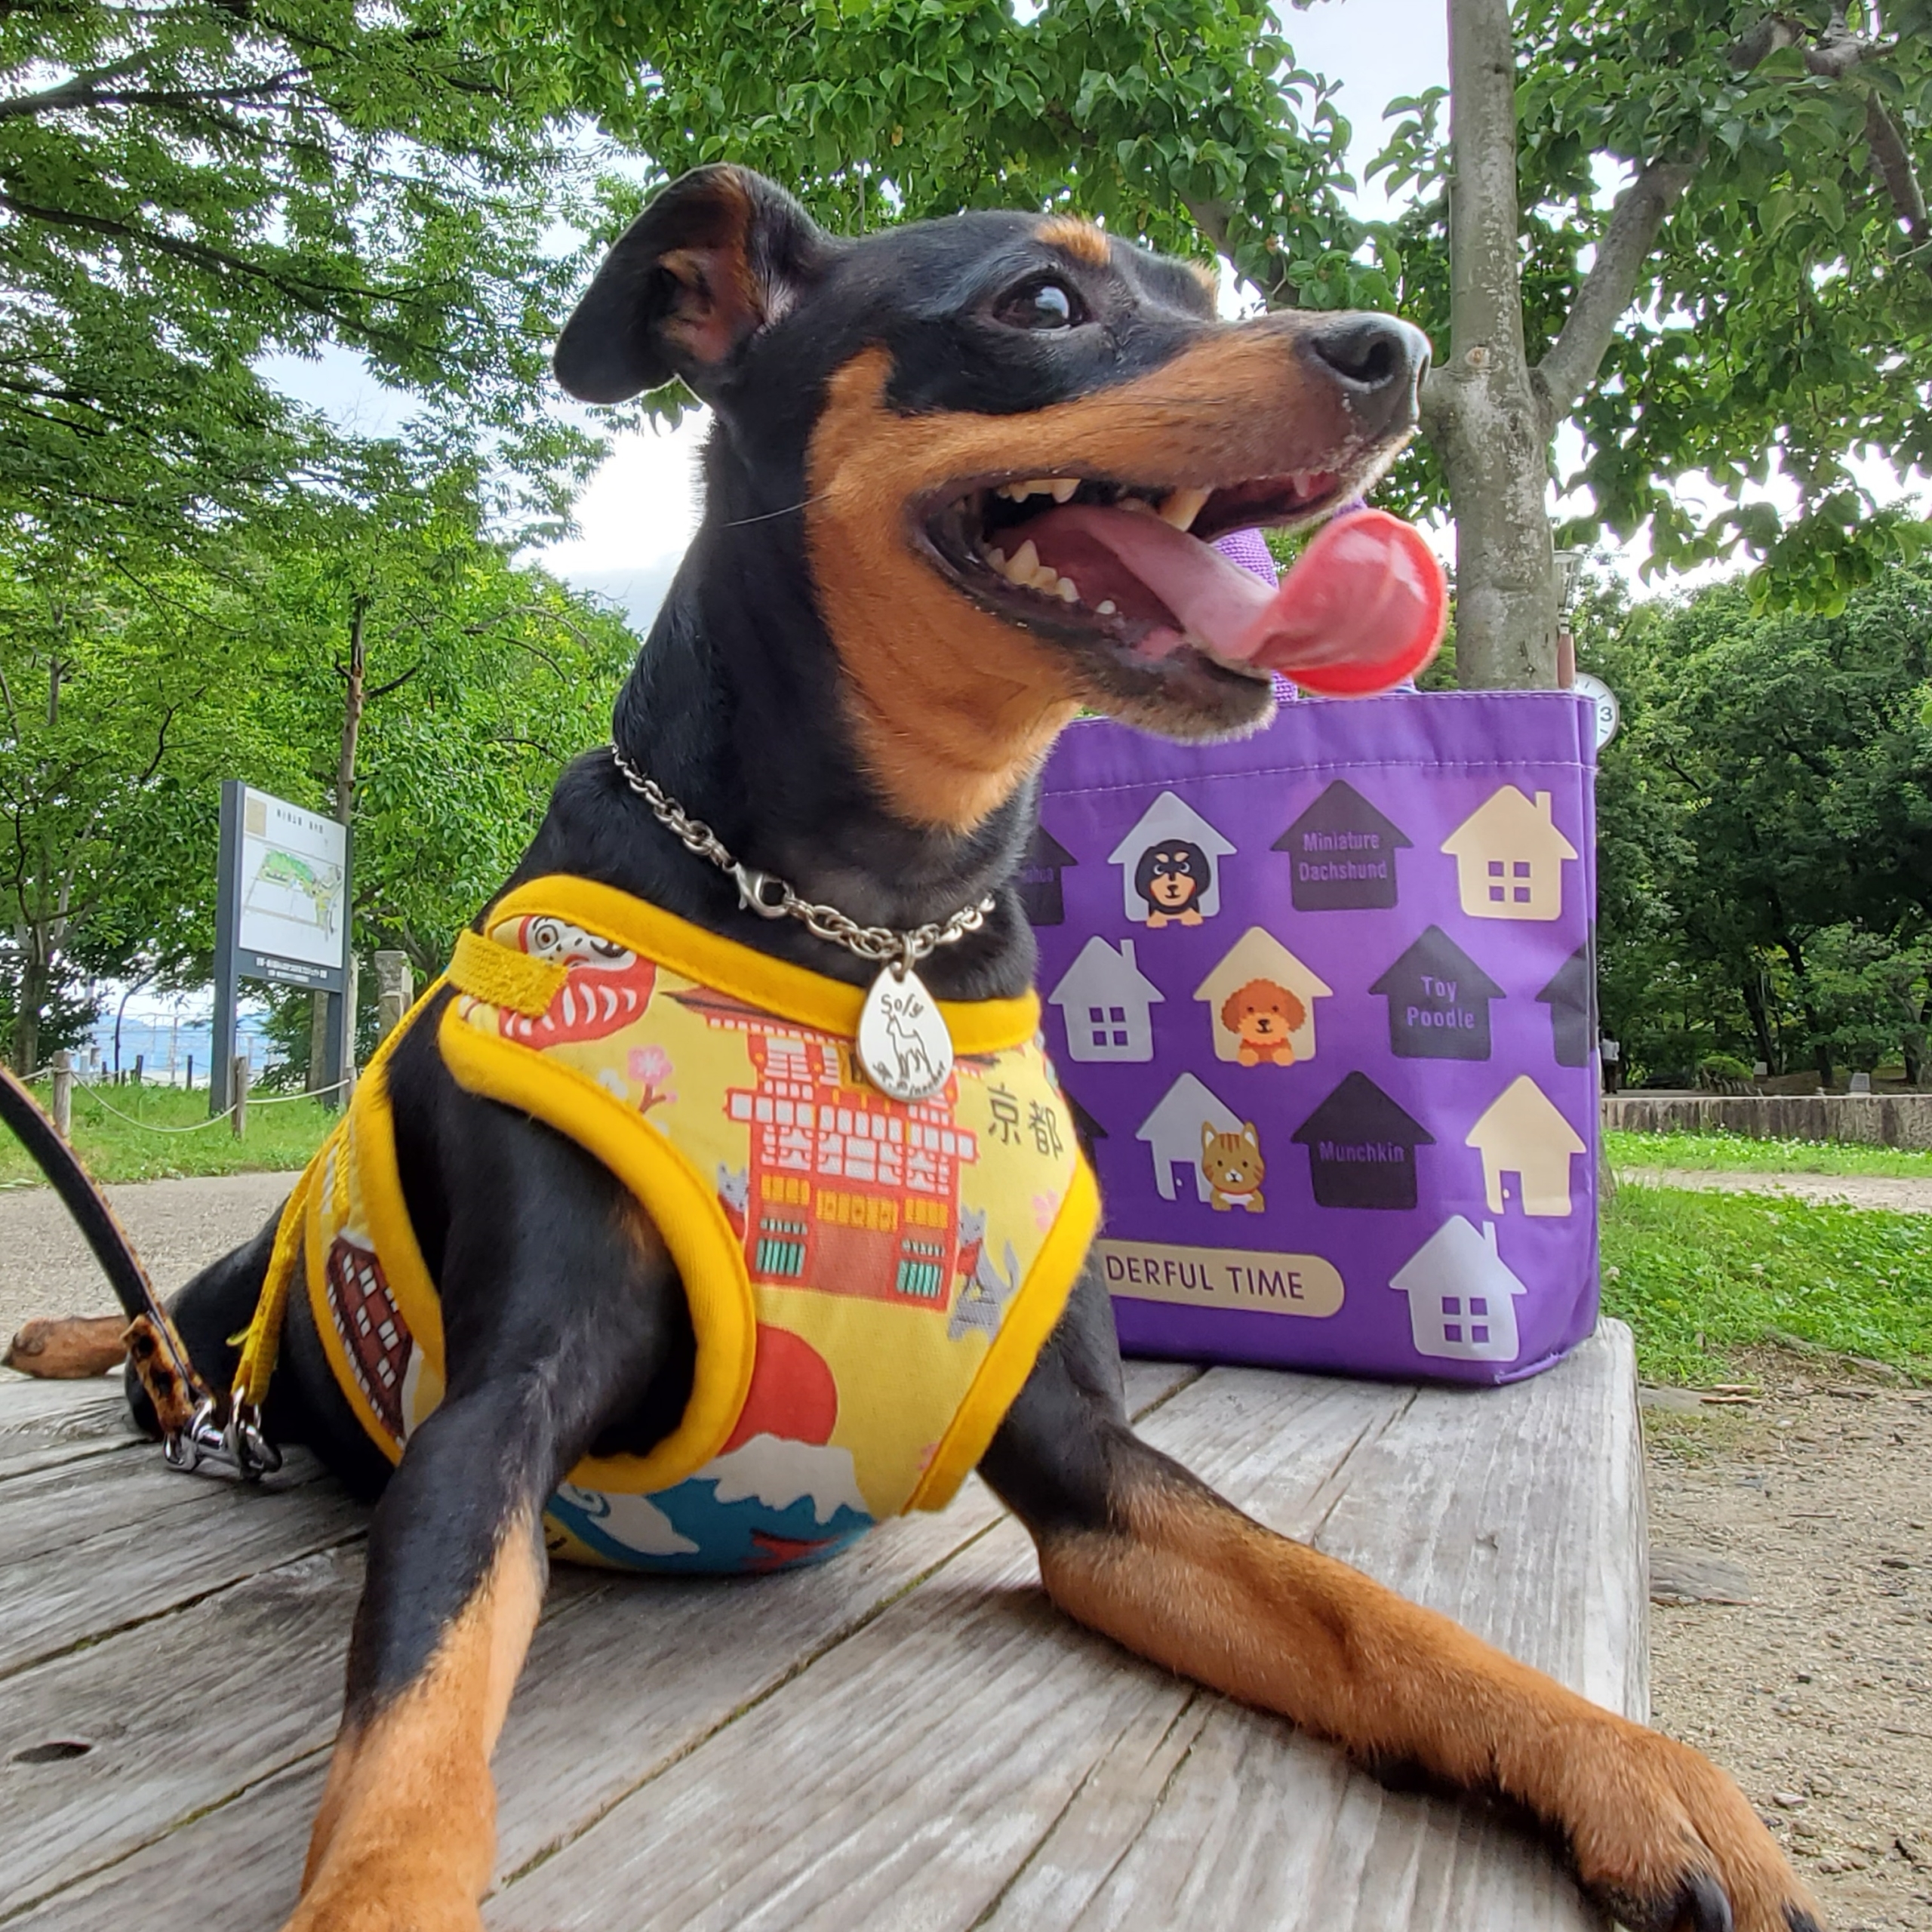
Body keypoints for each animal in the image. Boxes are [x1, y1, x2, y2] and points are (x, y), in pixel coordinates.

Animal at [8, 165, 1814, 1932]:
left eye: (1202, 289)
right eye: (1042, 299)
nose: (1389, 348)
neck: (869, 920)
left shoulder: (1081, 1454)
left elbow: (1355, 1605)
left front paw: (1627, 1770)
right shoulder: (490, 1420)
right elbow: (414, 1734)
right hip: (242, 1300)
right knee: (167, 1333)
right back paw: (75, 1336)